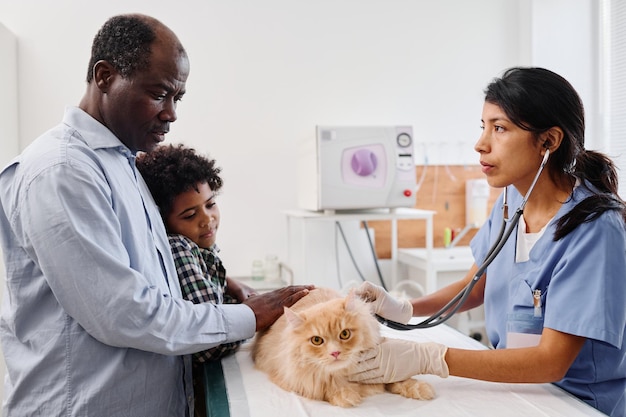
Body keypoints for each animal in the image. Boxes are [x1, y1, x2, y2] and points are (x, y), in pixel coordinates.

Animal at [249, 288, 434, 404]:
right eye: (317, 340)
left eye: (345, 334)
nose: (335, 353)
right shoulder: (294, 378)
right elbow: (325, 385)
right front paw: (346, 395)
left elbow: (398, 379)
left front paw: (420, 388)